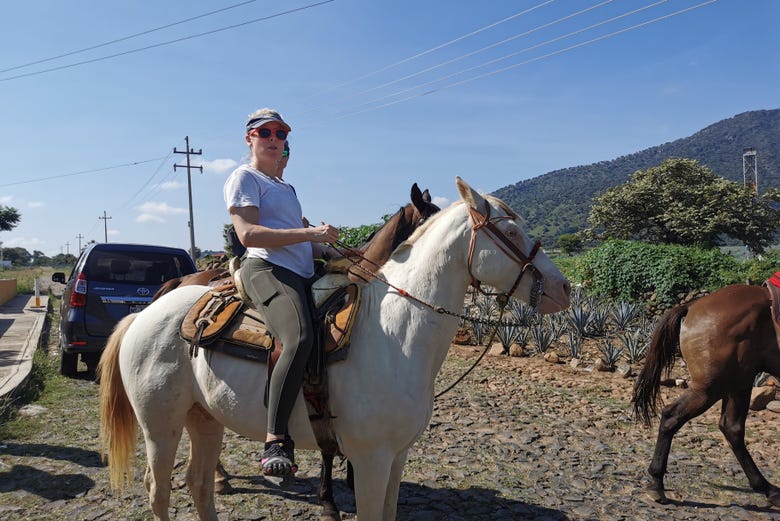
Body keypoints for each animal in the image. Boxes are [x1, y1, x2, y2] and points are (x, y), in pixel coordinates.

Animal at [632, 282, 780, 506]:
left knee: (731, 428)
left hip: (737, 383)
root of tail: (693, 306)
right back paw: (657, 482)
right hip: (713, 387)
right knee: (673, 416)